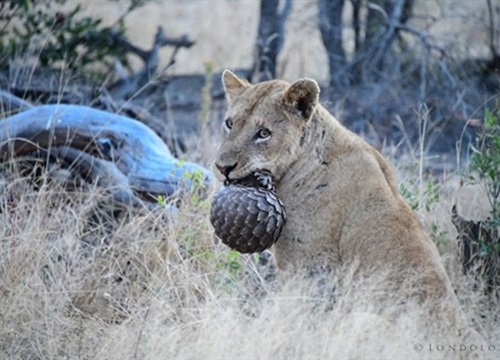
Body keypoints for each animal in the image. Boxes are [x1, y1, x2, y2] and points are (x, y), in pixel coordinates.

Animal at [214, 68, 480, 346]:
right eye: (230, 123)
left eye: (263, 133)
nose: (222, 167)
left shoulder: (310, 268)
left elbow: (292, 316)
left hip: (363, 316)